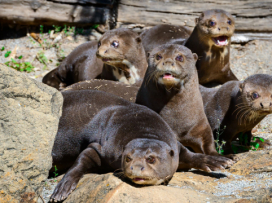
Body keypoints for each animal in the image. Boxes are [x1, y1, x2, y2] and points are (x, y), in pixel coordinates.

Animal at [50, 90, 233, 201]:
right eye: (128, 158)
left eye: (151, 159)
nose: (136, 169)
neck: (142, 127)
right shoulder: (101, 147)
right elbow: (82, 160)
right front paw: (63, 187)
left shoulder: (175, 146)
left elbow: (192, 156)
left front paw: (218, 161)